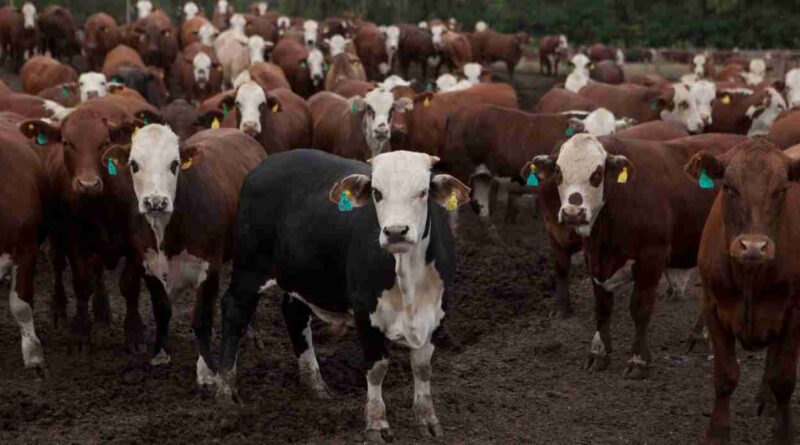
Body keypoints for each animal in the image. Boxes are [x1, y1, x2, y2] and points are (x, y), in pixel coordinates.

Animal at [216, 148, 472, 440]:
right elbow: (376, 368)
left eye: (422, 192)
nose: (395, 231)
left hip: (302, 275)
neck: (407, 278)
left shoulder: (438, 310)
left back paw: (315, 384)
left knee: (294, 314)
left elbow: (422, 367)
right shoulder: (366, 311)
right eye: (377, 193)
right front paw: (377, 423)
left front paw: (427, 419)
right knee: (234, 311)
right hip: (250, 267)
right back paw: (226, 390)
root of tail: (266, 164)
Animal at [684, 137, 800, 442]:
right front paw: (717, 434)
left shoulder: (794, 313)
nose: (754, 247)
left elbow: (784, 379)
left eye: (781, 189)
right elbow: (726, 376)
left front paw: (783, 434)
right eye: (728, 187)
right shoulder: (712, 306)